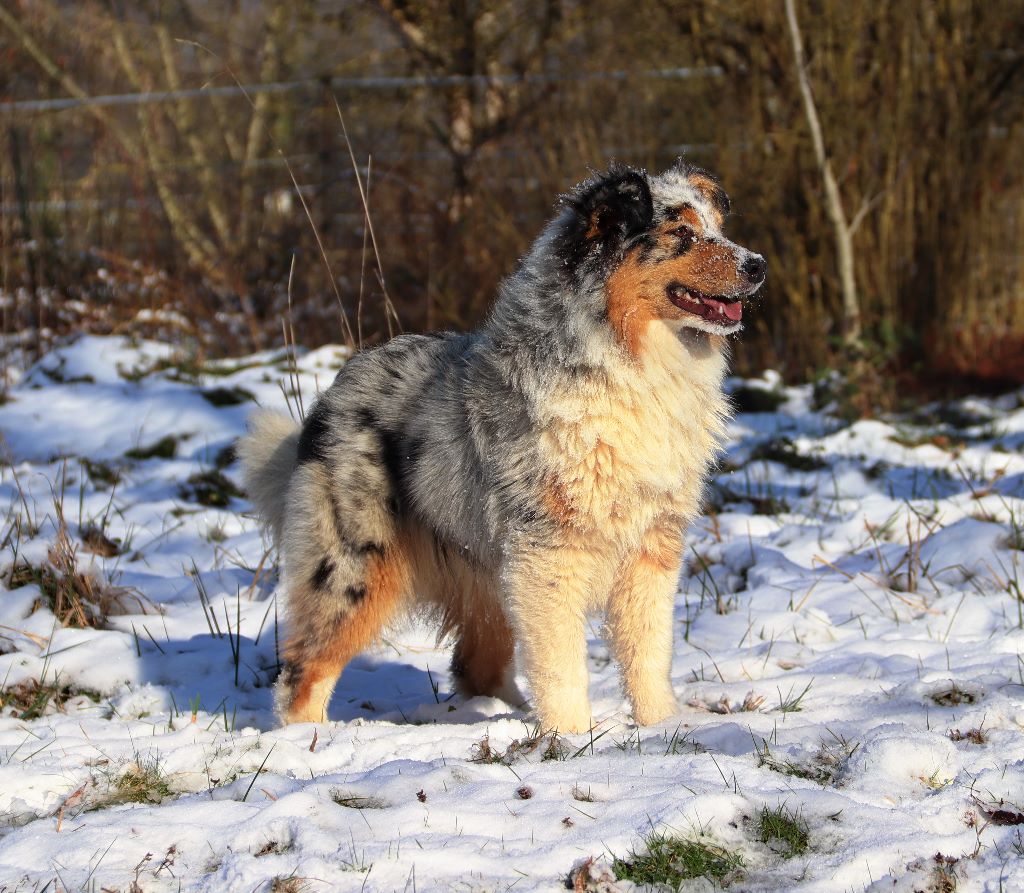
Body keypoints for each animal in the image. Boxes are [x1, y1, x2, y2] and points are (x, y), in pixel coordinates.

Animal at [239, 161, 765, 733]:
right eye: (682, 233)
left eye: (718, 228)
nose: (758, 264)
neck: (630, 365)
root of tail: (332, 393)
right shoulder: (549, 554)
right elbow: (561, 665)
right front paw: (573, 737)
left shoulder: (651, 548)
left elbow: (648, 653)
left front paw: (660, 727)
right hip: (355, 568)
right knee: (303, 671)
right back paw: (308, 738)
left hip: (484, 576)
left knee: (476, 666)